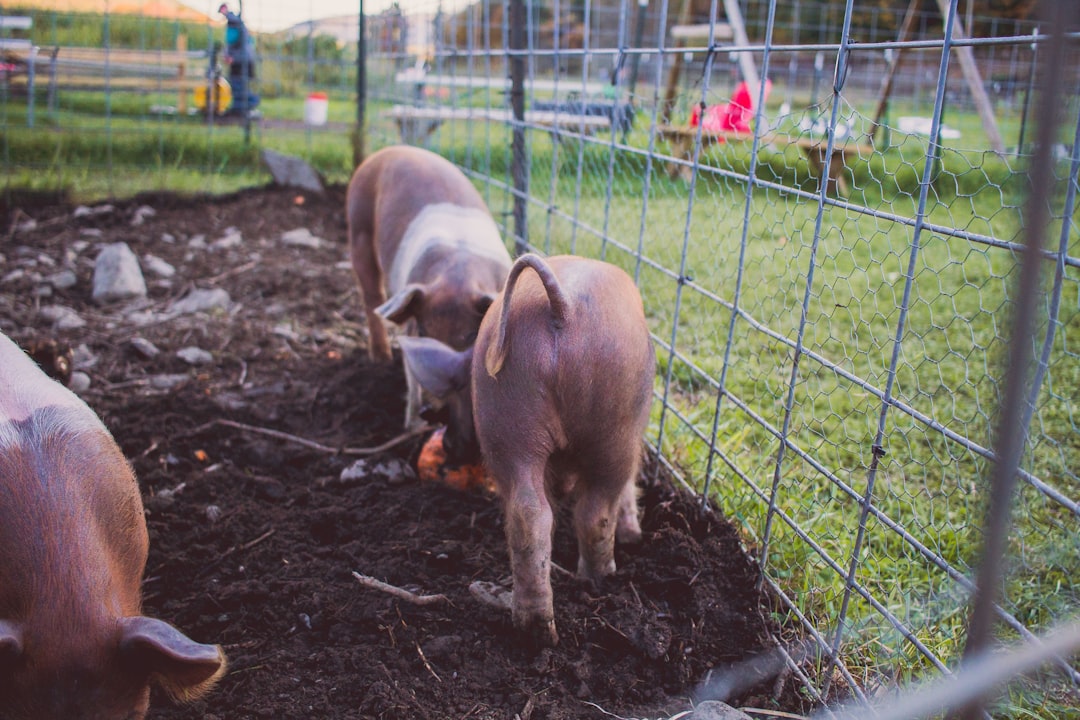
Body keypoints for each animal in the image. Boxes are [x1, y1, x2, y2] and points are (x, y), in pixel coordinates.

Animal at [347, 144, 511, 455]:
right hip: (358, 230)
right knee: (372, 298)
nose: (433, 411)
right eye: (423, 331)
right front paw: (413, 428)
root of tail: (388, 150)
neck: (458, 274)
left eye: (470, 335)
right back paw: (381, 359)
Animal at [399, 254, 656, 647]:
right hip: (616, 427)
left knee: (528, 513)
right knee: (596, 511)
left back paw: (535, 628)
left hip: (508, 413)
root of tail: (562, 307)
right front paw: (633, 536)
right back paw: (601, 578)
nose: (448, 445)